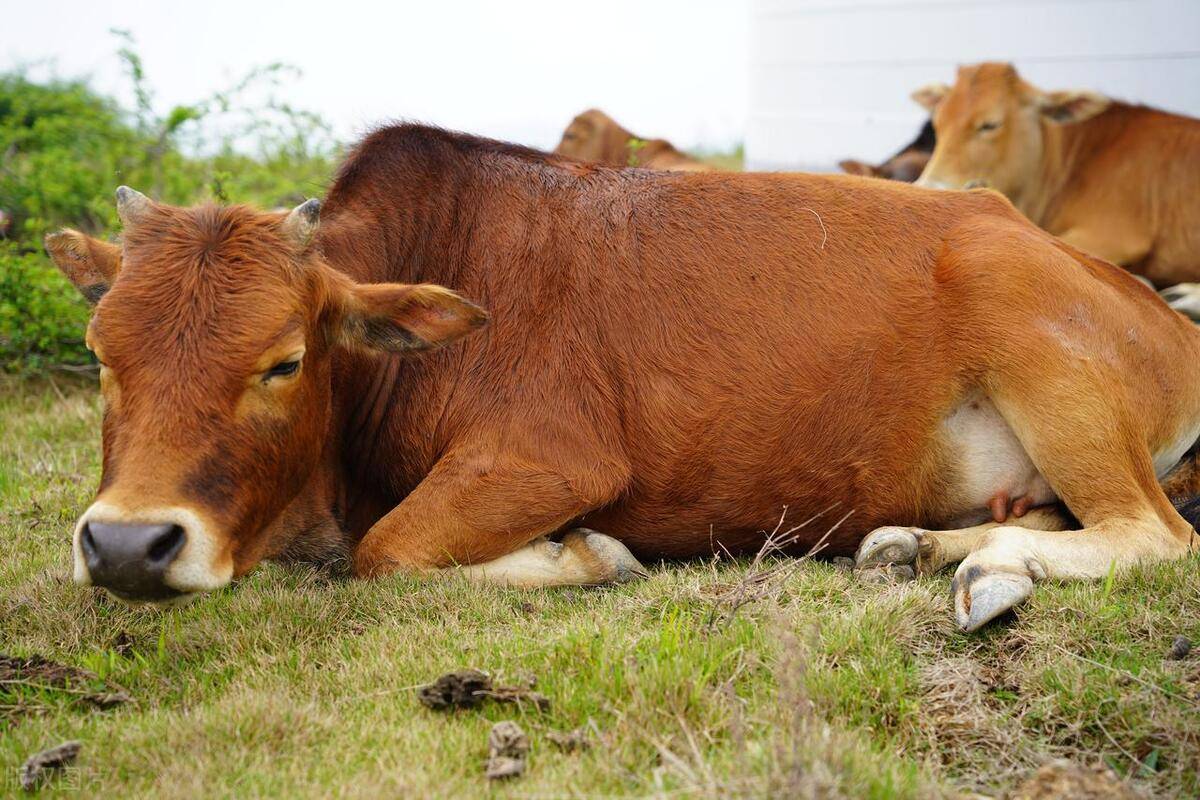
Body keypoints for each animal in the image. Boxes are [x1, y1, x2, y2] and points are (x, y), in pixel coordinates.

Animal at [42, 123, 1200, 633]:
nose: (130, 545)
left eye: (284, 361)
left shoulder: (553, 460)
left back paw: (984, 562)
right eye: (101, 355)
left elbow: (387, 553)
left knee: (1154, 534)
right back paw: (922, 548)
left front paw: (589, 556)